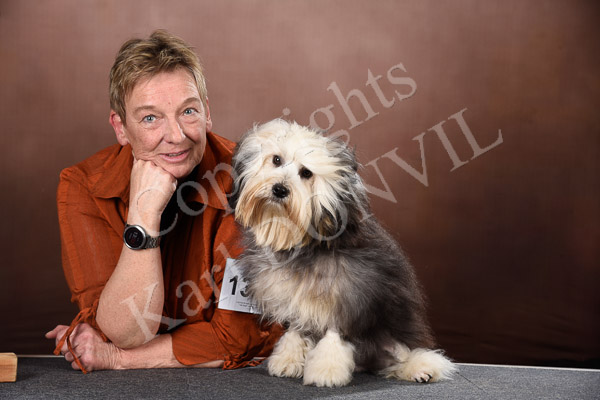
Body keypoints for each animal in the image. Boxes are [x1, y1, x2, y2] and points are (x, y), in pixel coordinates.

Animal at [229, 119, 456, 387]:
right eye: (276, 160)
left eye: (306, 173)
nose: (279, 189)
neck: (302, 243)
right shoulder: (295, 297)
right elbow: (296, 329)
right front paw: (288, 360)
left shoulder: (346, 297)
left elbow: (334, 335)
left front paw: (326, 372)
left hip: (395, 330)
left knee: (406, 355)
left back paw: (420, 369)